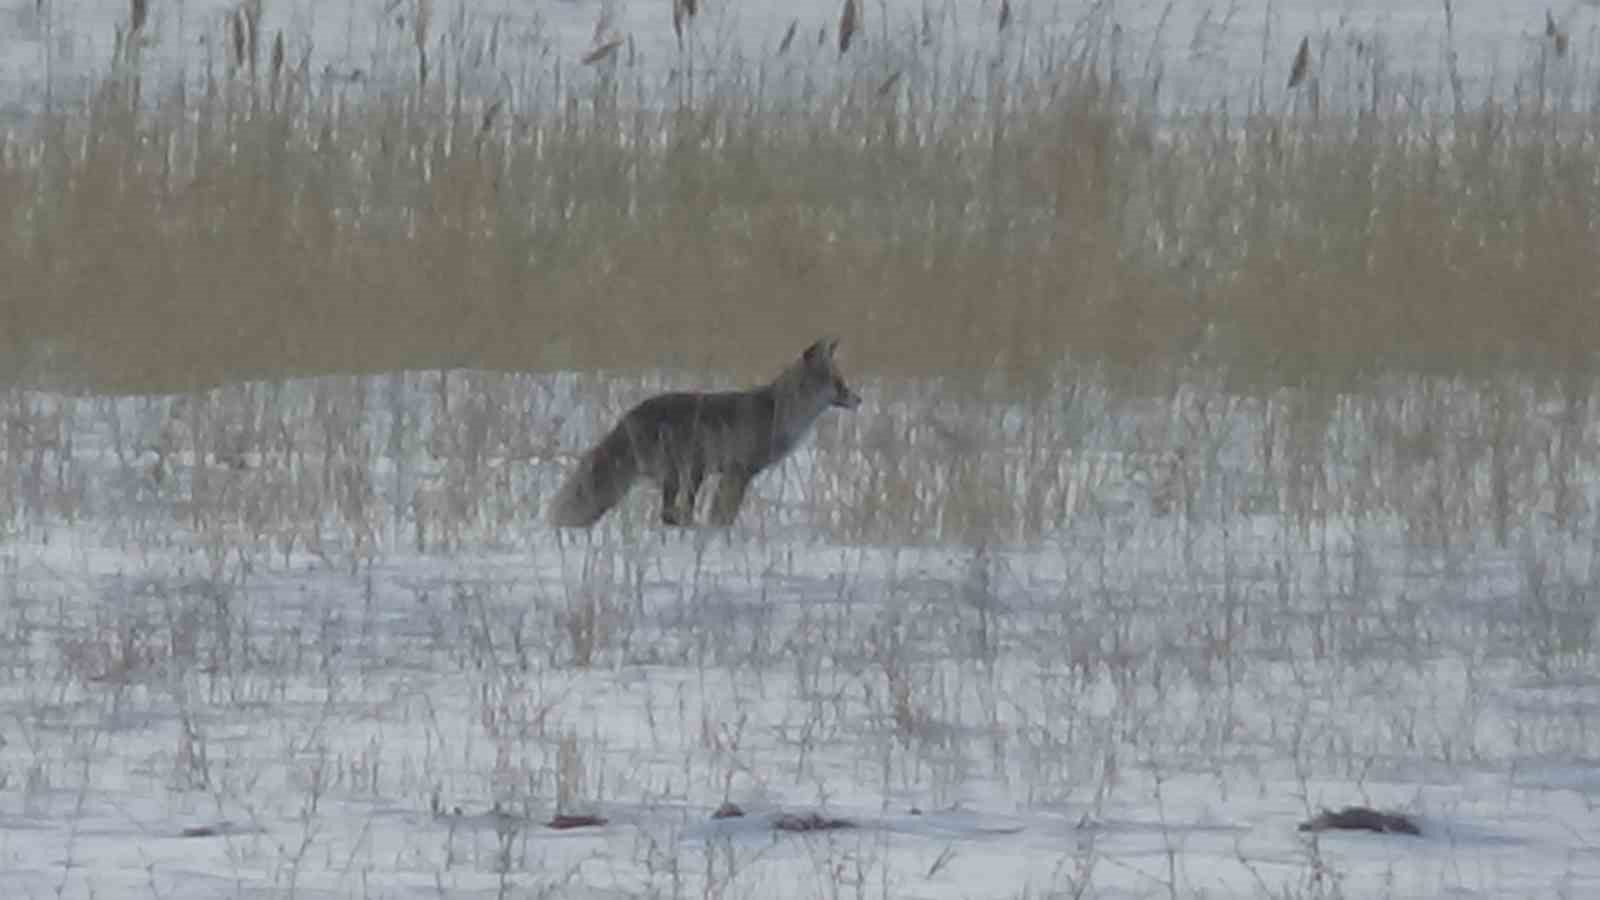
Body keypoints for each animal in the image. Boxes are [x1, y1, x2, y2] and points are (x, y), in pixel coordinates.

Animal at [547, 339, 864, 528]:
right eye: (838, 383)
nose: (858, 400)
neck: (780, 413)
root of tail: (629, 418)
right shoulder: (739, 471)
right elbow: (723, 515)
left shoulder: (731, 474)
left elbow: (721, 514)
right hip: (686, 473)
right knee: (671, 514)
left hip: (686, 476)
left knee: (673, 513)